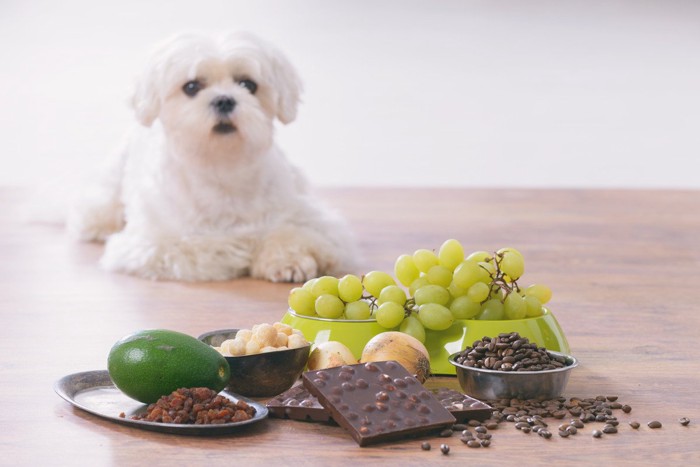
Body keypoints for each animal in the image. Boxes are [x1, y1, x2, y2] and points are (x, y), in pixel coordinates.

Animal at [67, 33, 356, 284]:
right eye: (191, 86)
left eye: (248, 84)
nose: (224, 100)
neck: (221, 168)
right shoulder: (153, 244)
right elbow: (216, 244)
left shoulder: (317, 220)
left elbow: (295, 232)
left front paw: (289, 258)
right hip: (106, 196)